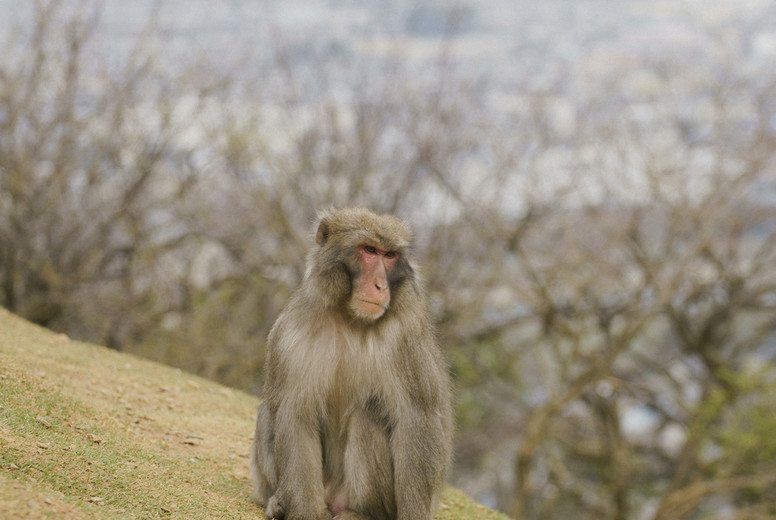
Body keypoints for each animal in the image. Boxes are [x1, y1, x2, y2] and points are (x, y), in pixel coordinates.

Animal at [250, 207, 453, 520]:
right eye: (369, 250)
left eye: (389, 255)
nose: (380, 285)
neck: (349, 316)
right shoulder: (291, 332)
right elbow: (295, 412)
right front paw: (304, 512)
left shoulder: (405, 336)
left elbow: (417, 419)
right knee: (267, 409)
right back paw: (277, 501)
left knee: (367, 414)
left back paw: (361, 513)